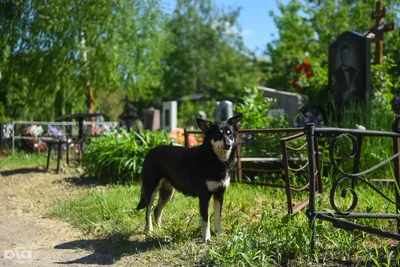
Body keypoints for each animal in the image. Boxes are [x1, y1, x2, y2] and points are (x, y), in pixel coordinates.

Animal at [138, 114, 242, 244]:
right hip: (151, 189)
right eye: (218, 134)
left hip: (167, 192)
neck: (216, 160)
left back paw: (160, 229)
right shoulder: (204, 195)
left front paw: (219, 233)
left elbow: (218, 216)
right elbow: (205, 219)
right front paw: (206, 238)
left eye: (230, 134)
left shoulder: (219, 194)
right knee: (148, 210)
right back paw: (149, 230)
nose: (228, 144)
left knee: (157, 210)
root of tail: (150, 151)